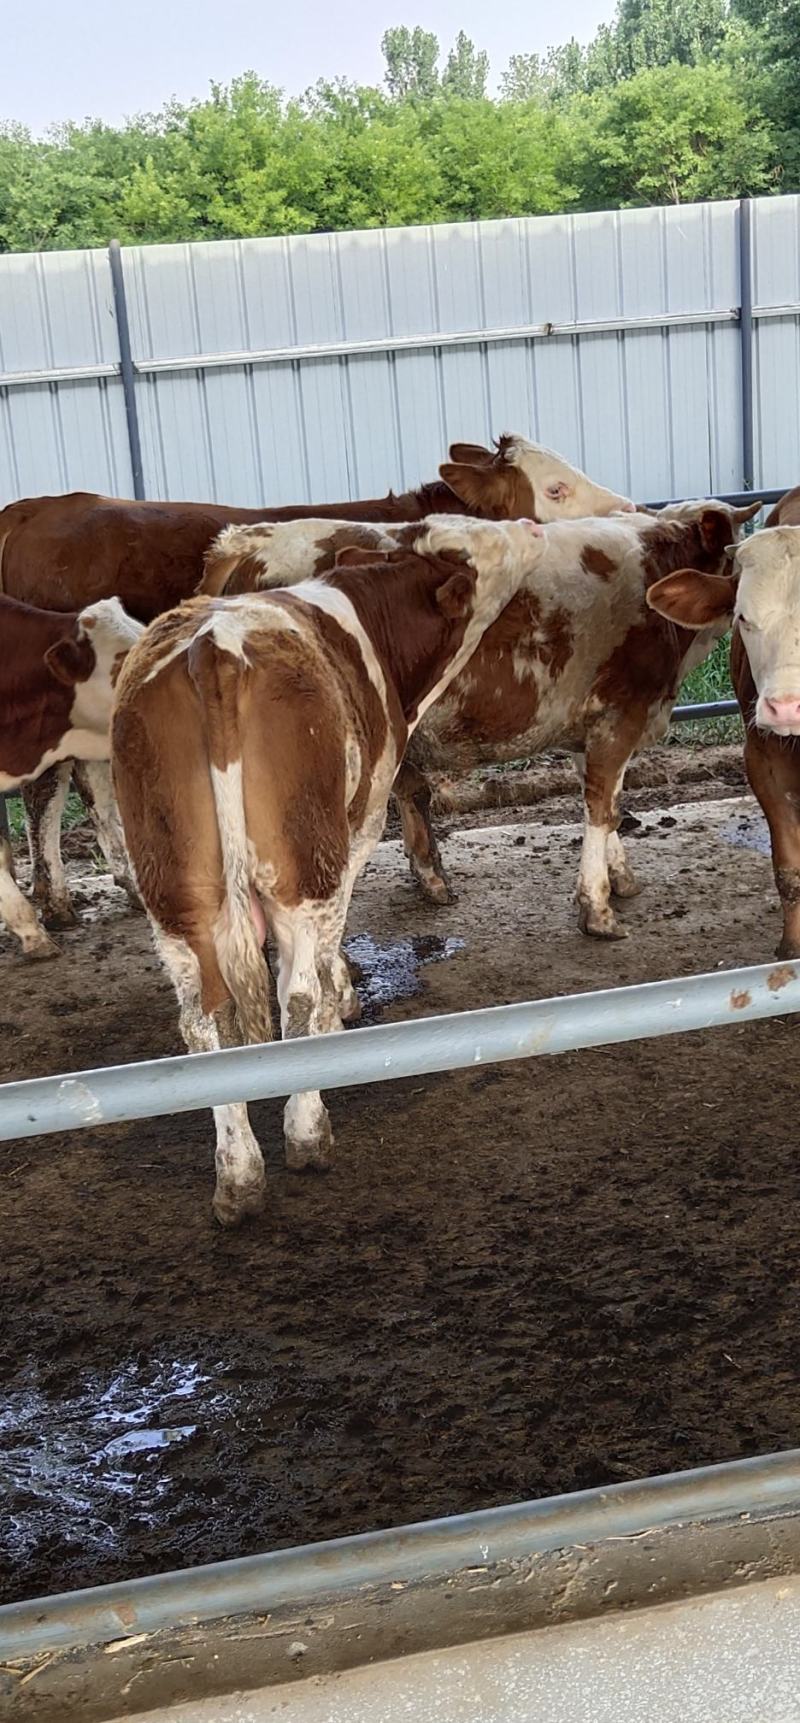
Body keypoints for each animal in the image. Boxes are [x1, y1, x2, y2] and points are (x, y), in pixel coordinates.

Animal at [112, 510, 548, 1226]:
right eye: (485, 542)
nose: (529, 525)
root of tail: (215, 652)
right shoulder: (363, 817)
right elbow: (330, 940)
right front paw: (343, 993)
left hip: (175, 890)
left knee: (202, 1019)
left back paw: (238, 1175)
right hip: (302, 862)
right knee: (294, 992)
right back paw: (307, 1131)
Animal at [201, 499, 762, 944]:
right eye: (732, 552)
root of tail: (254, 538)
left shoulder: (591, 730)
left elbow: (607, 801)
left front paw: (620, 877)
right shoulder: (619, 716)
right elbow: (602, 807)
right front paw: (598, 908)